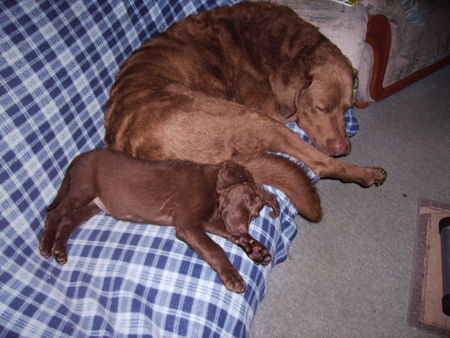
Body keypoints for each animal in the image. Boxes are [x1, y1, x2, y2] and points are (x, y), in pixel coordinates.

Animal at [38, 149, 320, 292]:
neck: (213, 186)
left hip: (93, 204)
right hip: (82, 188)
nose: (244, 224)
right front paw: (233, 276)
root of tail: (79, 157)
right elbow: (215, 249)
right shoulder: (188, 224)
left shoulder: (208, 222)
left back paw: (60, 251)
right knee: (55, 213)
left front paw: (256, 248)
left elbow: (232, 235)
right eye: (243, 199)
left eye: (255, 214)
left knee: (68, 221)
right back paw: (46, 246)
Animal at [104, 1, 386, 187]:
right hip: (252, 119)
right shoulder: (265, 105)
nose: (343, 147)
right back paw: (368, 173)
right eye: (322, 108)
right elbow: (295, 111)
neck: (285, 45)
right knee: (322, 163)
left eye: (347, 108)